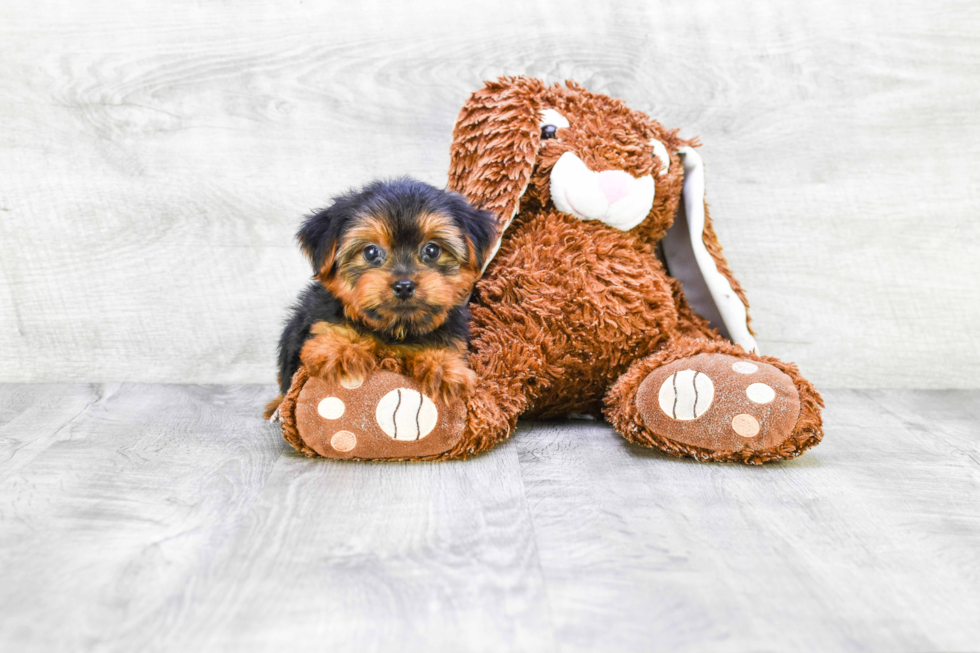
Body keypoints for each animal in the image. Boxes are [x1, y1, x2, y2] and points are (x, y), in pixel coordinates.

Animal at [266, 177, 498, 418]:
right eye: (371, 252)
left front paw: (445, 367)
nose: (404, 286)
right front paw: (341, 349)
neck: (395, 328)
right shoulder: (319, 320)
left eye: (432, 250)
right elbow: (335, 330)